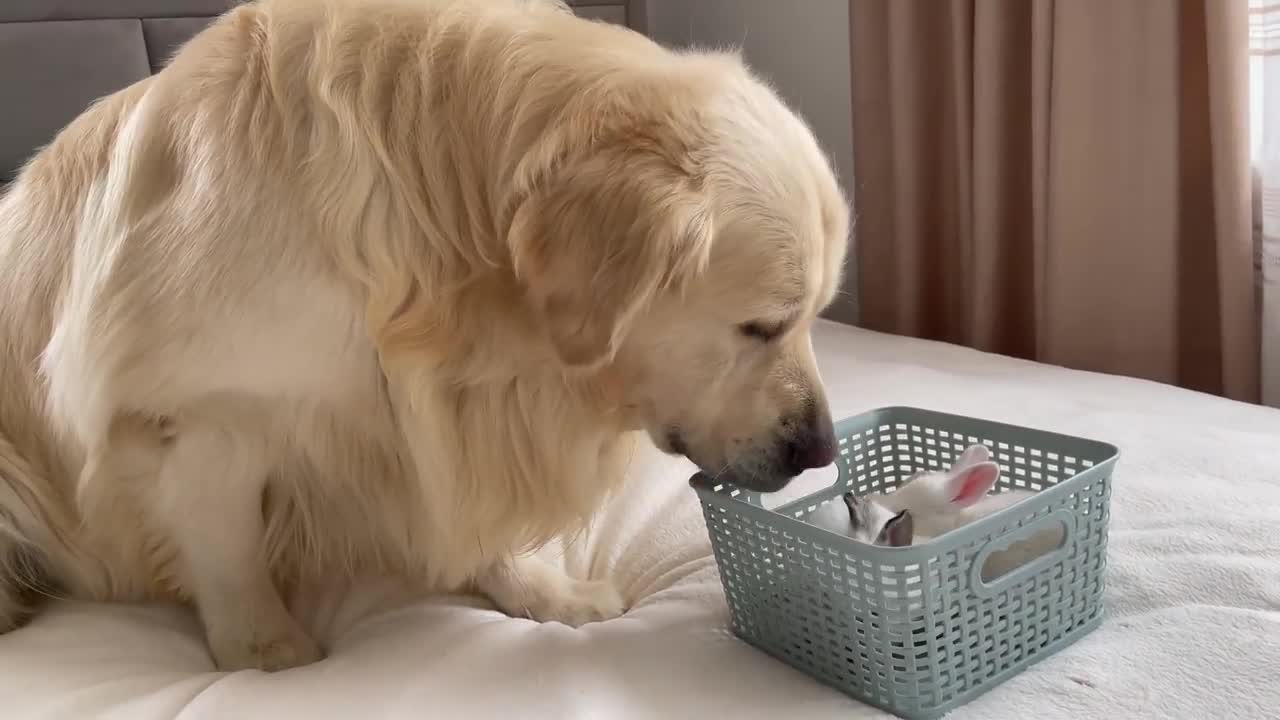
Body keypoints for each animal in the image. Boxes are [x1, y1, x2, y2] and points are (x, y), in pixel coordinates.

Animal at [0, 0, 849, 671]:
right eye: (761, 326)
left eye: (817, 315)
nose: (820, 451)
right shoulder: (201, 413)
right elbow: (227, 545)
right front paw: (266, 654)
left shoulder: (455, 412)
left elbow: (480, 513)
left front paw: (547, 592)